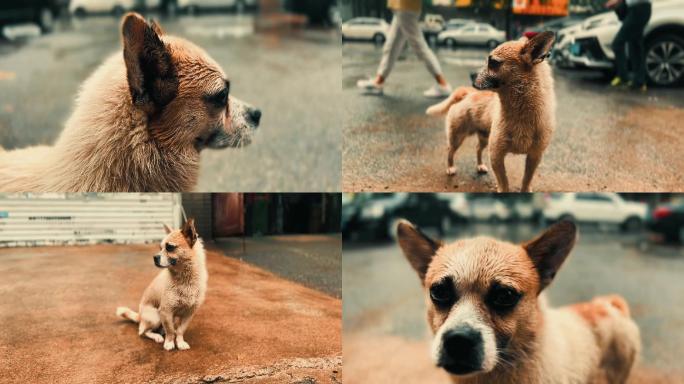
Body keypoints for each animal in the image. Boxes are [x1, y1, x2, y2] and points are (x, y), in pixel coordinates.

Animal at [116, 219, 207, 352]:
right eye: (160, 248)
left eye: (170, 247)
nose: (154, 257)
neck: (184, 279)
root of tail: (140, 317)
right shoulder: (165, 311)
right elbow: (170, 331)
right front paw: (169, 343)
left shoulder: (189, 313)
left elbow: (180, 330)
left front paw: (180, 342)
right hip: (155, 317)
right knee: (143, 332)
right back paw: (157, 336)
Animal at [424, 31, 560, 192]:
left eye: (493, 62)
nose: (470, 73)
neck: (519, 113)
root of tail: (467, 93)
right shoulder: (496, 155)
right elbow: (504, 182)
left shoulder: (534, 157)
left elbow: (527, 180)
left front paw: (525, 189)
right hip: (457, 137)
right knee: (450, 151)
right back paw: (450, 168)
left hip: (483, 138)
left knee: (477, 149)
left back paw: (480, 166)